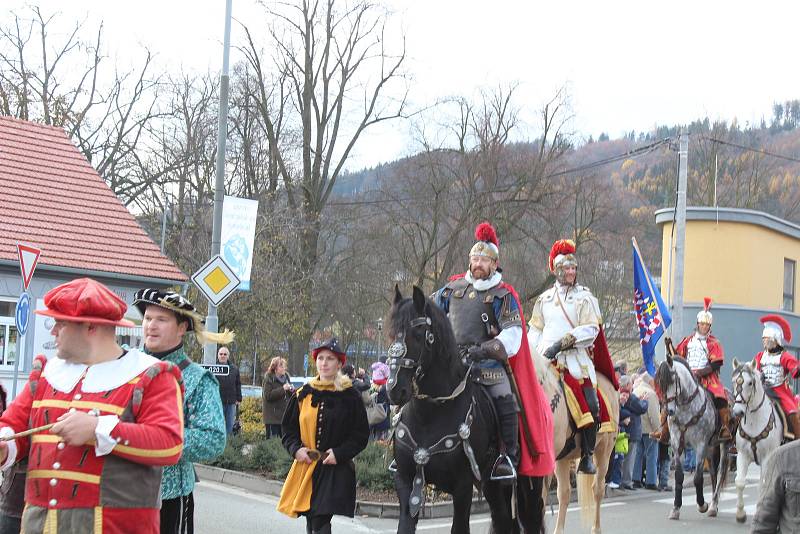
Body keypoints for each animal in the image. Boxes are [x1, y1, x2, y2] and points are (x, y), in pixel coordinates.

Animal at [388, 288, 544, 534]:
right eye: (391, 333)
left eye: (418, 333)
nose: (395, 389)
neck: (430, 415)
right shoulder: (405, 480)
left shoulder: (462, 486)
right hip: (492, 485)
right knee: (502, 518)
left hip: (529, 482)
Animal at [732, 362, 780, 524]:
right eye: (734, 381)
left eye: (750, 383)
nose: (738, 412)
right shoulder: (742, 455)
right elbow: (740, 482)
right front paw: (740, 514)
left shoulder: (768, 457)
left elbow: (764, 484)